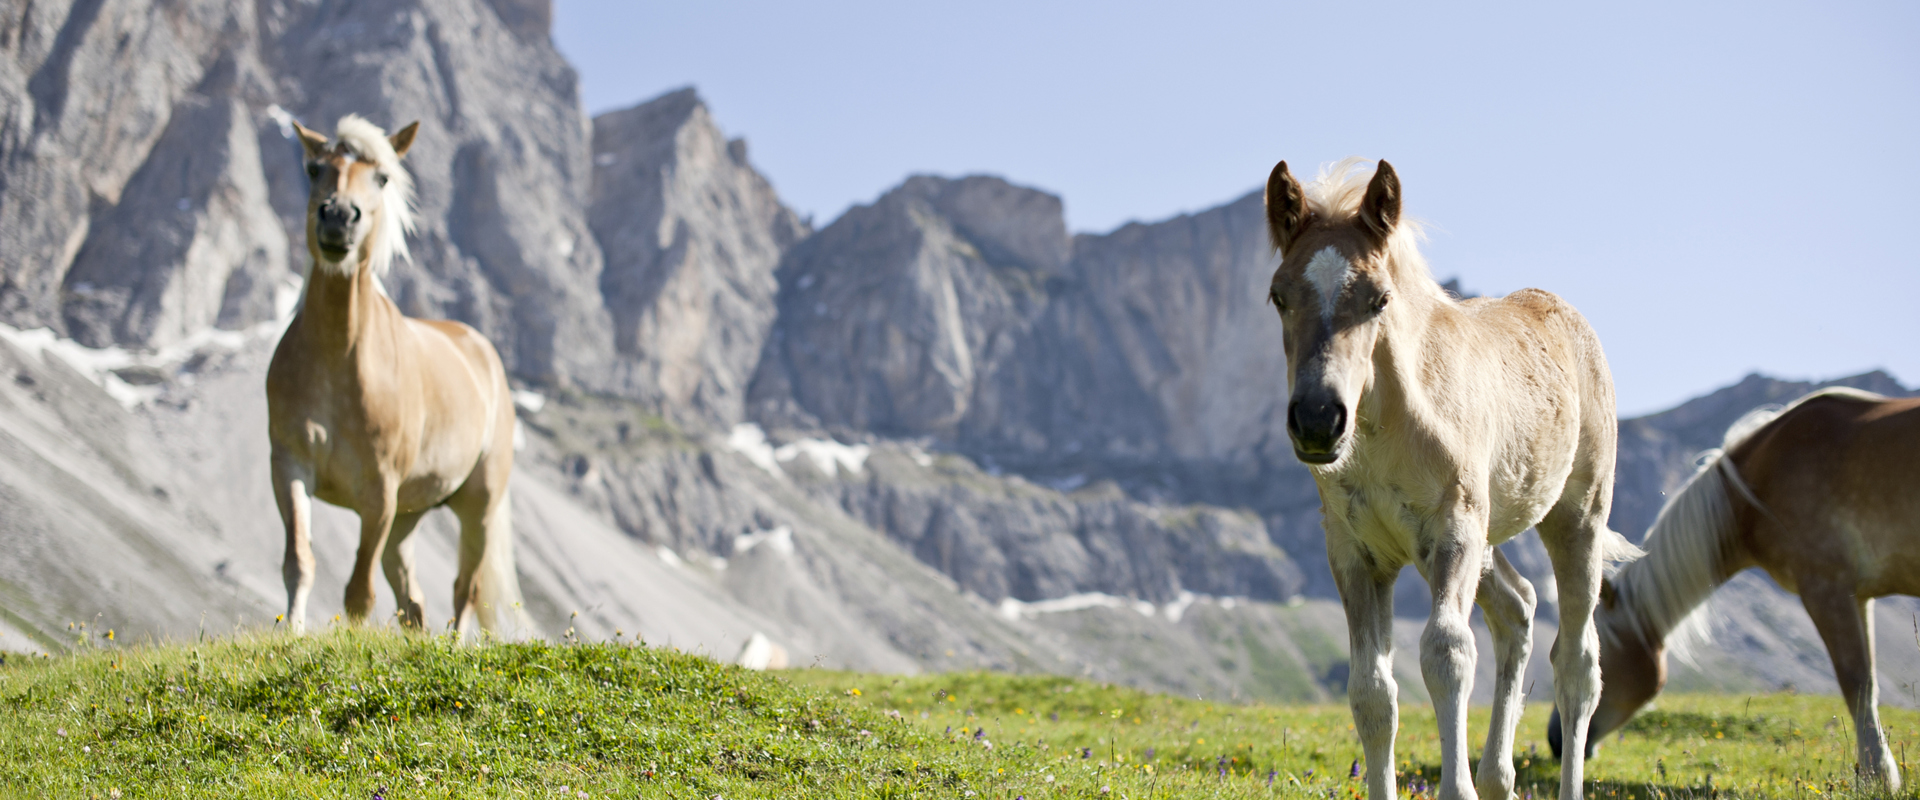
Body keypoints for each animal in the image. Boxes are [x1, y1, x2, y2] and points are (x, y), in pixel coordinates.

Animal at [266, 115, 528, 637]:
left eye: (383, 177)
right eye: (314, 168)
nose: (338, 218)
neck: (338, 362)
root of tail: (481, 349)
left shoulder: (380, 494)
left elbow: (359, 592)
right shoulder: (289, 467)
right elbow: (300, 561)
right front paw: (292, 633)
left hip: (476, 508)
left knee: (464, 589)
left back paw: (455, 645)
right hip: (409, 515)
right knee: (412, 599)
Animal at [1264, 158, 1639, 800]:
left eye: (1379, 298)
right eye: (1278, 296)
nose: (1317, 419)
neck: (1387, 431)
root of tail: (1564, 312)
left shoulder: (1455, 528)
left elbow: (1447, 654)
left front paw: (1456, 785)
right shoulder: (1355, 551)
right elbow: (1372, 691)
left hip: (1575, 519)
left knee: (1577, 665)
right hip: (1475, 541)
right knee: (1517, 608)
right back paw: (1497, 776)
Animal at [1548, 387, 1918, 792]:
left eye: (1602, 655)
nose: (1555, 740)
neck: (1758, 485)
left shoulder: (1827, 588)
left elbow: (1857, 682)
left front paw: (1878, 776)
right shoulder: (1859, 595)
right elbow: (1867, 684)